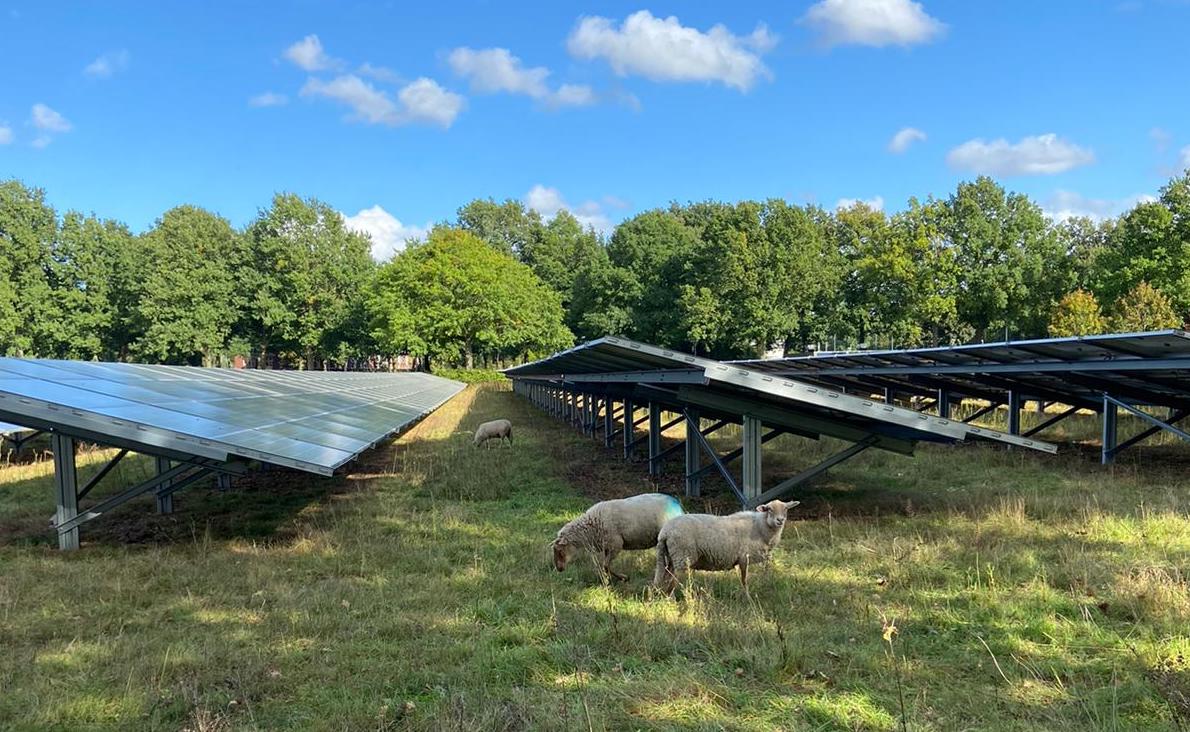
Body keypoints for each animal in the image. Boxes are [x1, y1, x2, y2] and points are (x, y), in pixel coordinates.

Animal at [549, 492, 685, 583]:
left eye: (560, 551)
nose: (559, 569)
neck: (591, 526)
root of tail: (678, 505)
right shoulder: (607, 547)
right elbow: (604, 565)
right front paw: (608, 580)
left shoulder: (616, 545)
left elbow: (605, 565)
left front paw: (621, 578)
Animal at [652, 497, 799, 595]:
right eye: (769, 509)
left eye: (786, 509)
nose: (780, 520)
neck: (760, 526)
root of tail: (665, 532)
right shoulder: (744, 557)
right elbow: (744, 579)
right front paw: (747, 597)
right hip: (682, 557)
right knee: (672, 582)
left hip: (670, 557)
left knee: (666, 577)